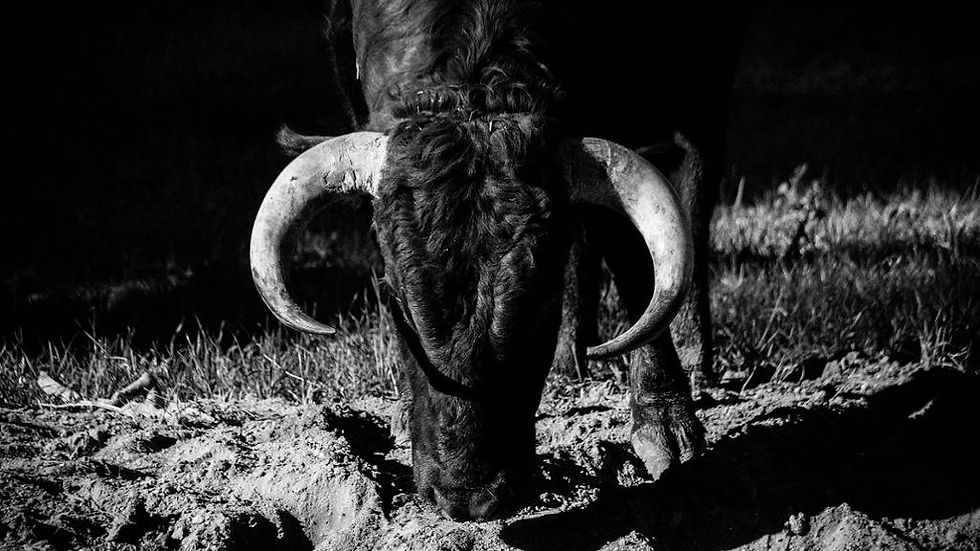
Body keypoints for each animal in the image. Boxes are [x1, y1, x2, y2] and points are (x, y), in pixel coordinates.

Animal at [250, 0, 741, 521]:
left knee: (694, 187)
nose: (468, 496)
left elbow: (632, 256)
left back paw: (694, 352)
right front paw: (403, 410)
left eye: (541, 305)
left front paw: (663, 421)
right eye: (399, 303)